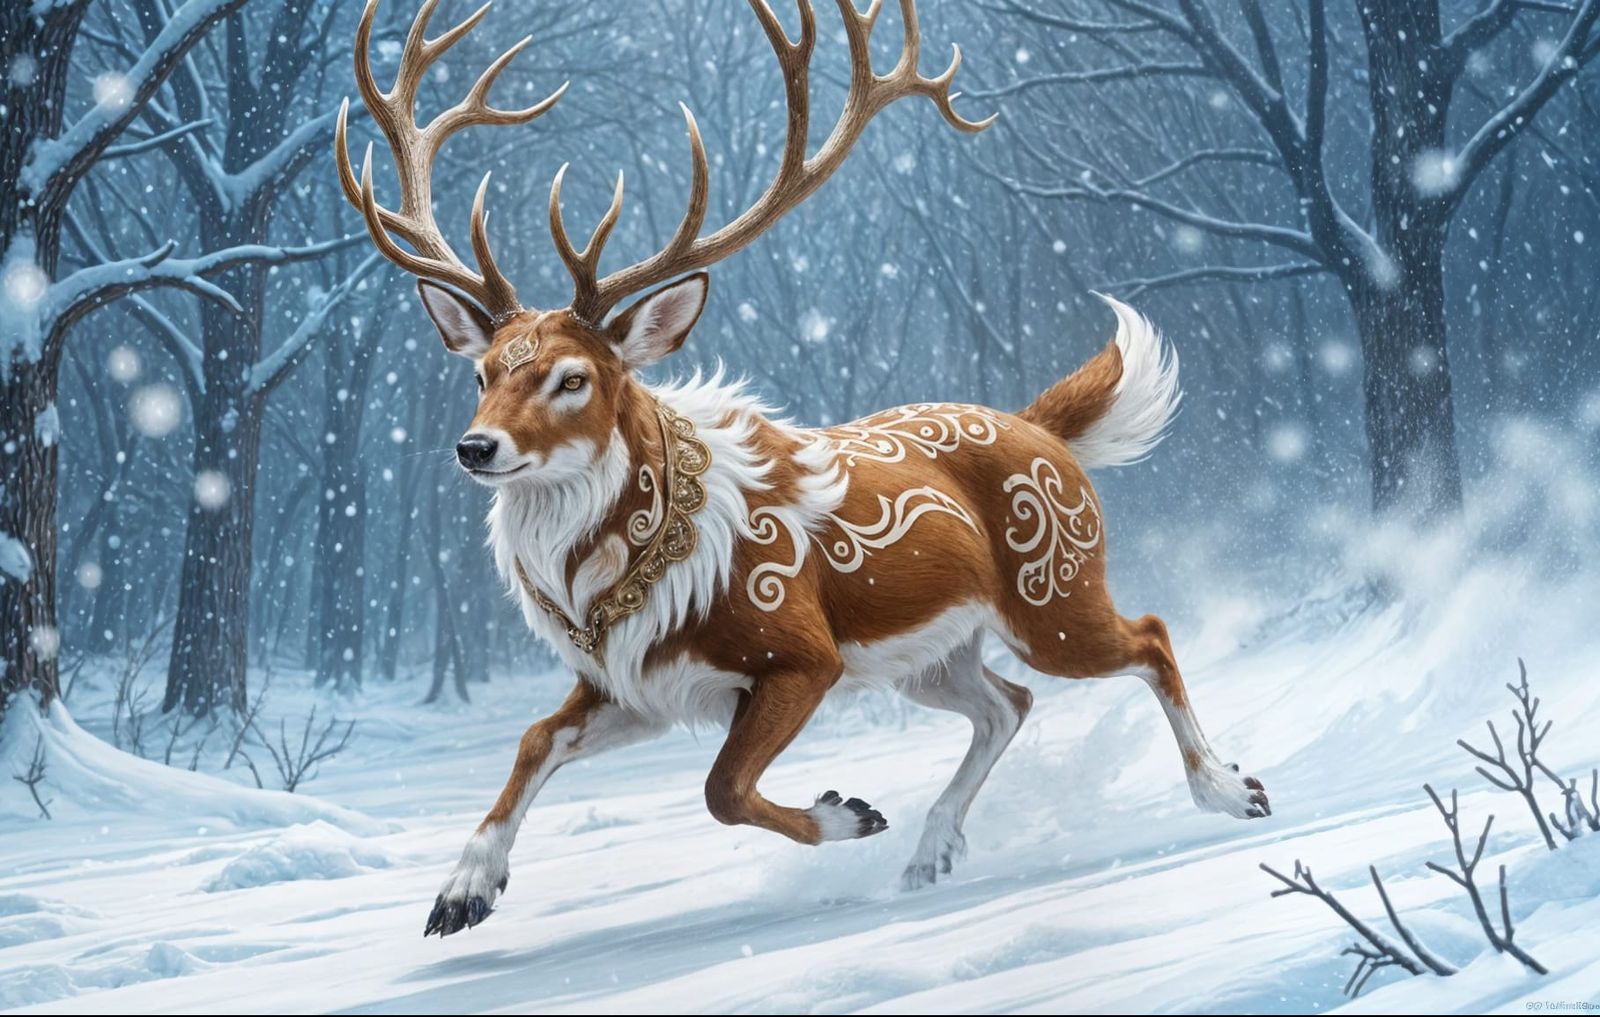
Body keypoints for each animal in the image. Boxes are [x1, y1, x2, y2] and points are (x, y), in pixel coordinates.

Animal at [337, 0, 1270, 939]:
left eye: (572, 378)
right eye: (483, 373)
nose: (475, 447)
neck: (615, 567)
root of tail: (1042, 429)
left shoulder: (800, 651)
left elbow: (720, 787)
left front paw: (848, 812)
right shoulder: (634, 682)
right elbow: (535, 738)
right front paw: (462, 891)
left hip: (1055, 592)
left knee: (1147, 635)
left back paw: (1231, 789)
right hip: (932, 656)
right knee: (1009, 702)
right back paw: (931, 853)